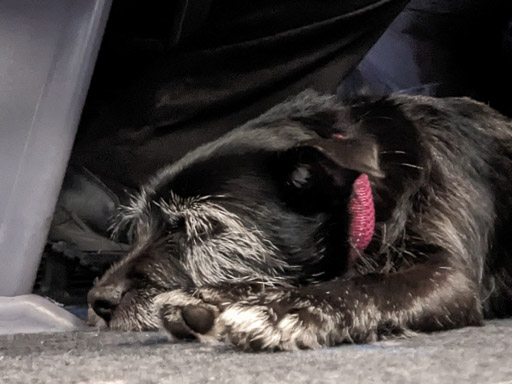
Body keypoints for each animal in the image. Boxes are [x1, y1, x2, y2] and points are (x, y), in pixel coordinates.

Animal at [88, 91, 512, 352]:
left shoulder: (447, 275)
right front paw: (210, 301)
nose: (97, 301)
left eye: (201, 228)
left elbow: (364, 285)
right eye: (139, 229)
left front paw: (284, 312)